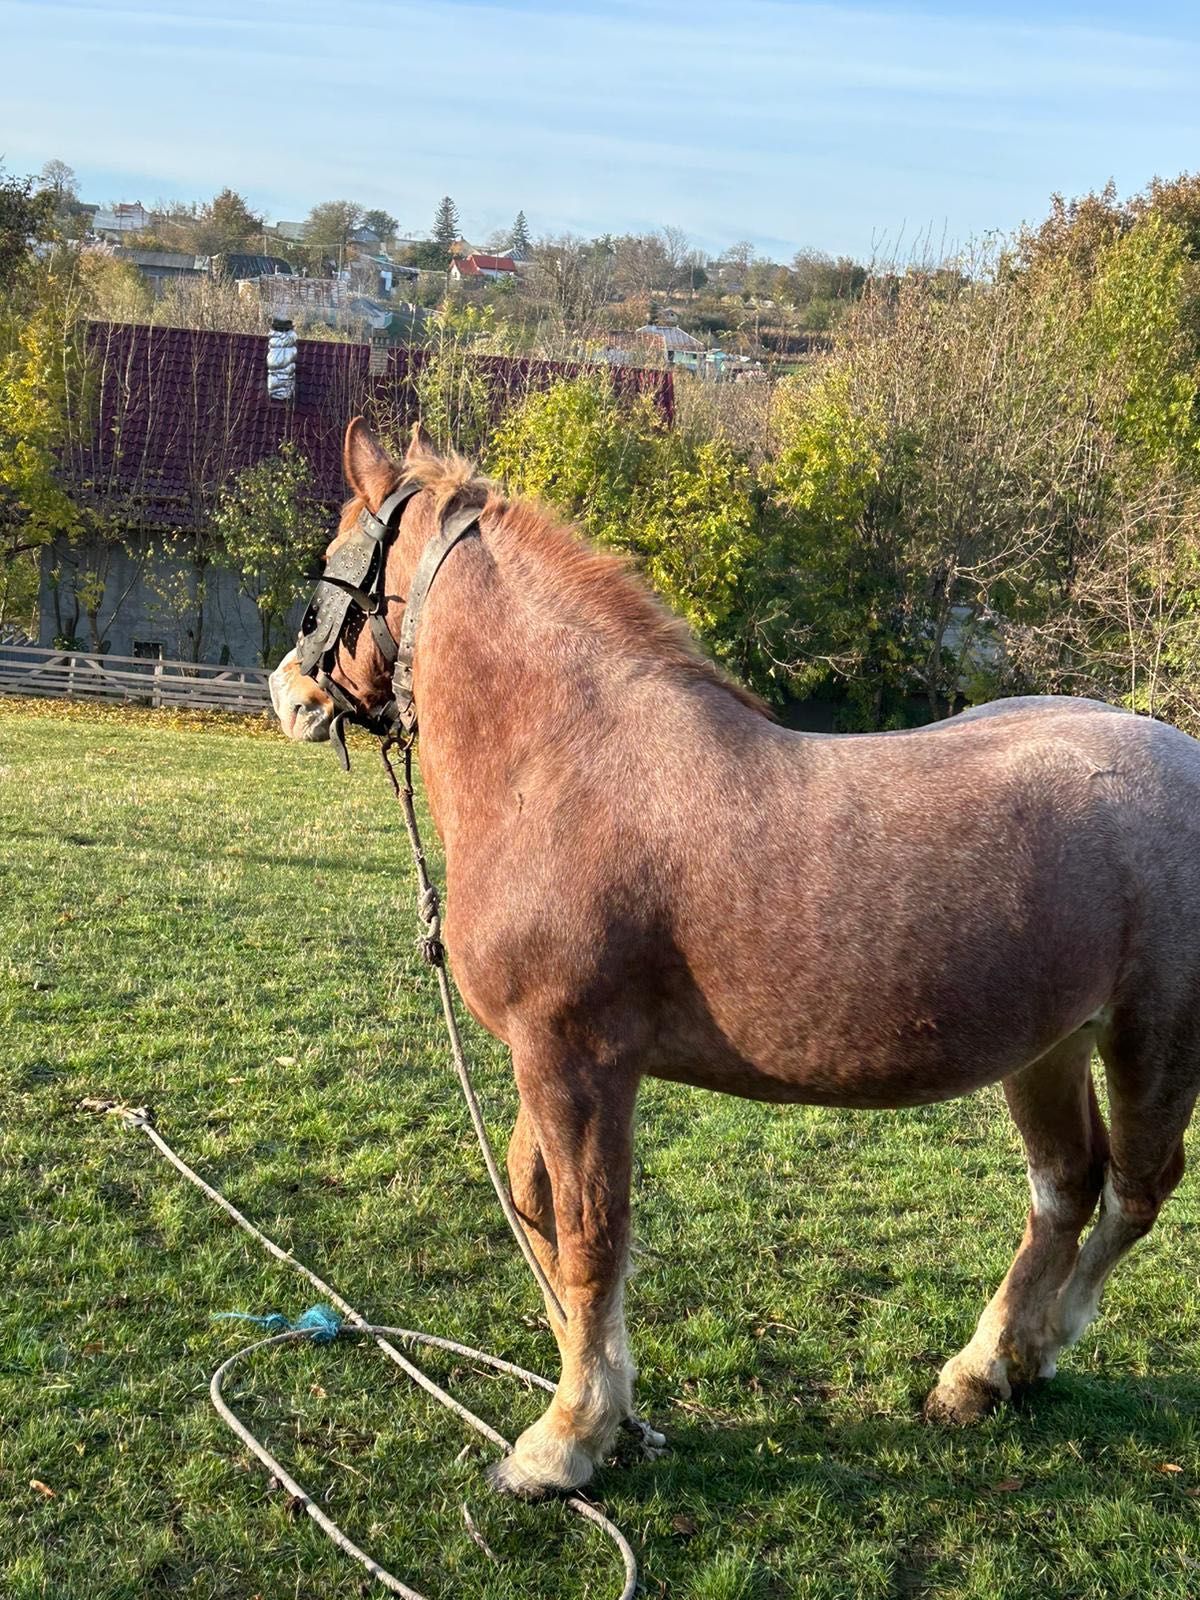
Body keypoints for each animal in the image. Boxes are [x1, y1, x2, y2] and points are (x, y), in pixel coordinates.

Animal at [270, 419, 1200, 1491]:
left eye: (332, 561)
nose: (287, 692)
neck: (567, 763)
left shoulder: (575, 1059)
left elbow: (590, 1234)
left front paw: (565, 1439)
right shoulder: (549, 1062)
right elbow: (538, 1205)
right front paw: (599, 1392)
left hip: (1153, 1043)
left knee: (1134, 1191)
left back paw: (1043, 1342)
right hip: (1047, 1047)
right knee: (1065, 1187)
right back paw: (984, 1371)